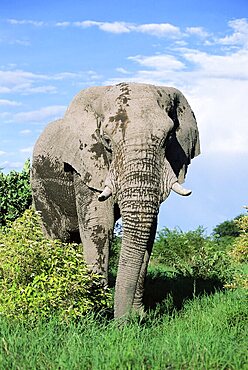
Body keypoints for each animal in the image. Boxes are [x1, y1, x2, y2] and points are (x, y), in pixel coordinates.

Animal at [31, 83, 200, 318]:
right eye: (107, 141)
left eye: (168, 138)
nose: (123, 323)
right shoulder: (86, 164)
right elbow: (100, 227)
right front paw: (95, 314)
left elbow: (148, 233)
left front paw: (138, 315)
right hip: (39, 186)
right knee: (56, 238)